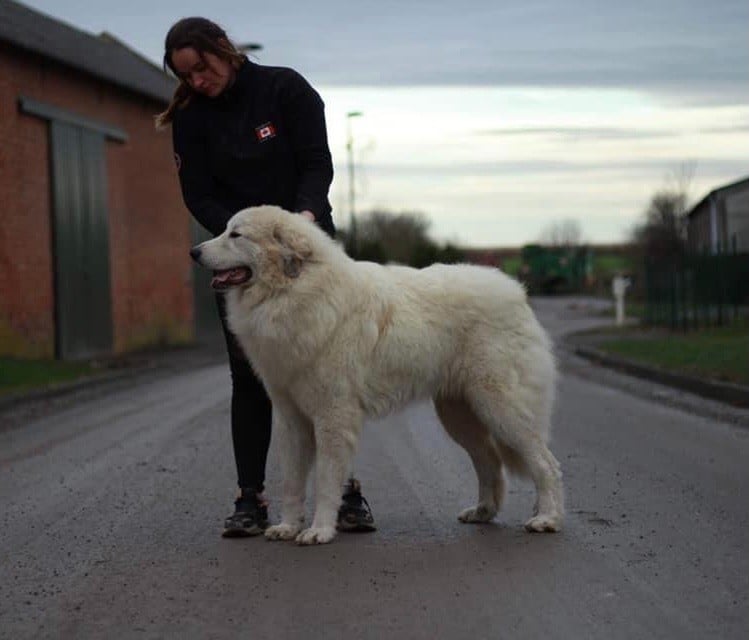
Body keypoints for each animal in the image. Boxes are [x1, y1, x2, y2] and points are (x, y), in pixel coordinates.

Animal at [190, 206, 564, 544]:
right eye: (224, 230)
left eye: (236, 235)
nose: (194, 252)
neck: (292, 292)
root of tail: (516, 292)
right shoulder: (291, 417)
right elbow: (292, 482)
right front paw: (287, 526)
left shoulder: (333, 415)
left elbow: (326, 480)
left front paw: (319, 530)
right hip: (460, 415)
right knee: (489, 461)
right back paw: (483, 511)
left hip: (500, 407)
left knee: (545, 463)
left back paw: (546, 518)